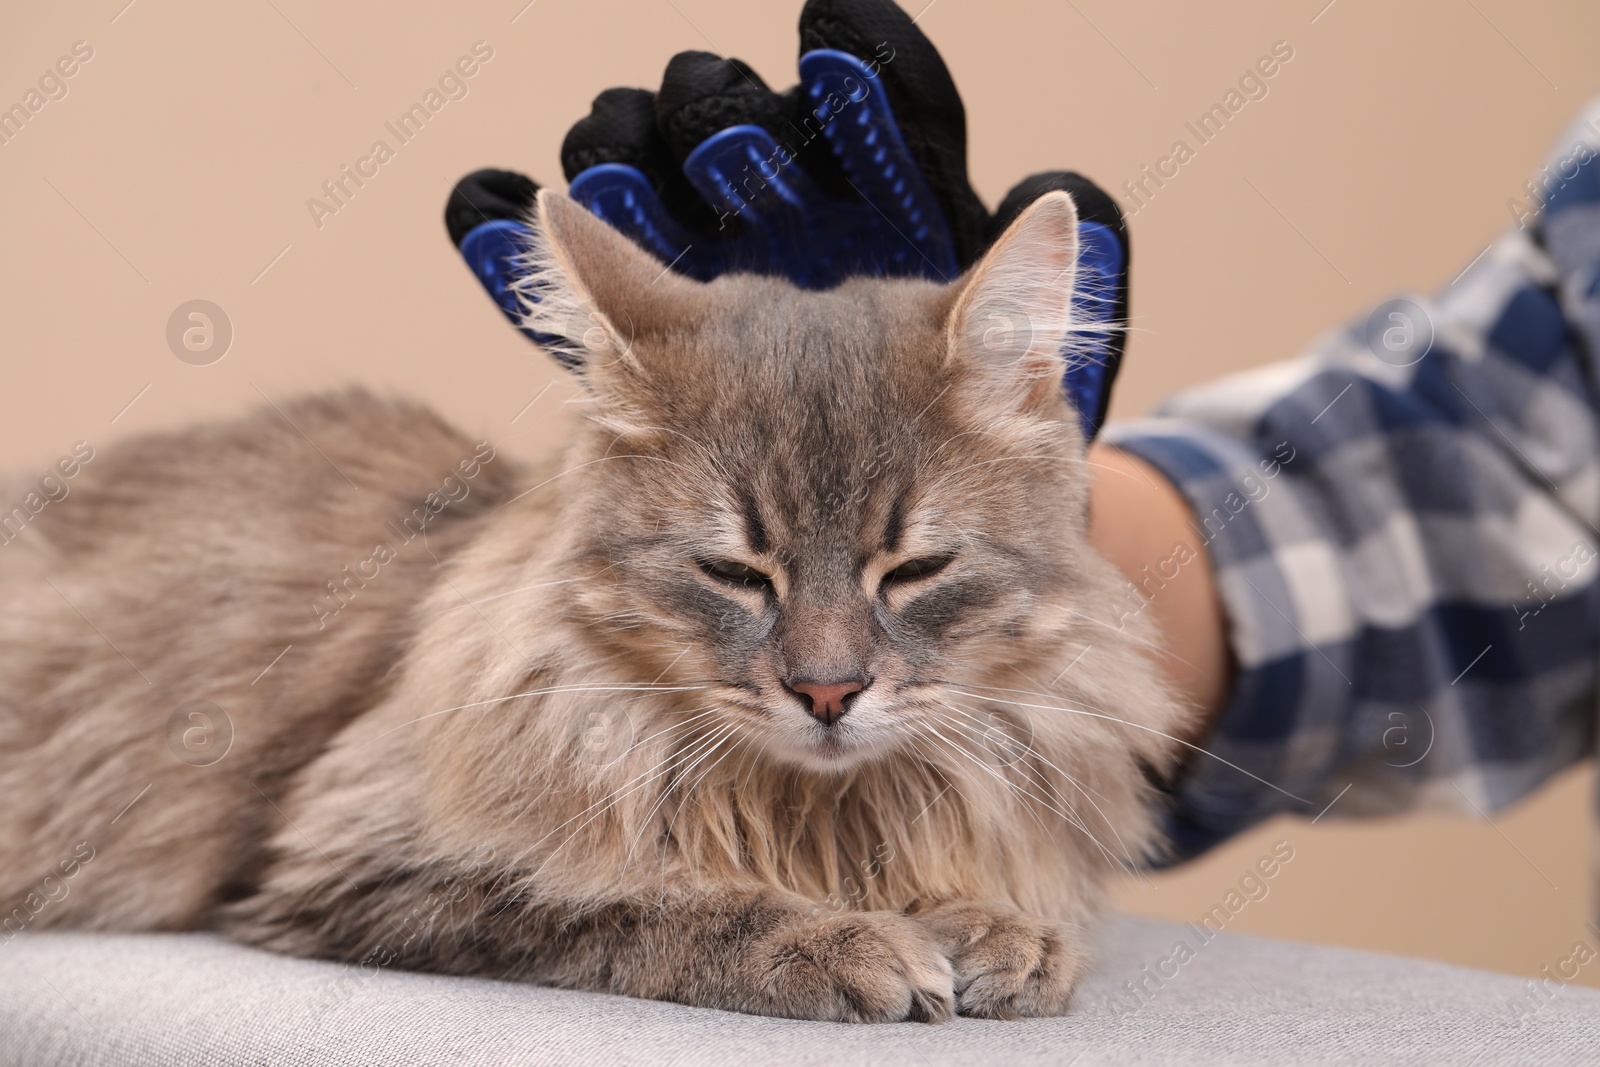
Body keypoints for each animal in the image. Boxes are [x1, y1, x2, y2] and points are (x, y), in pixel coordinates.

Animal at [0, 187, 1190, 1023]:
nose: (826, 690)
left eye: (913, 570)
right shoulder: (363, 855)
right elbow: (652, 895)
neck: (812, 807)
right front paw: (839, 940)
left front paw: (997, 928)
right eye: (734, 573)